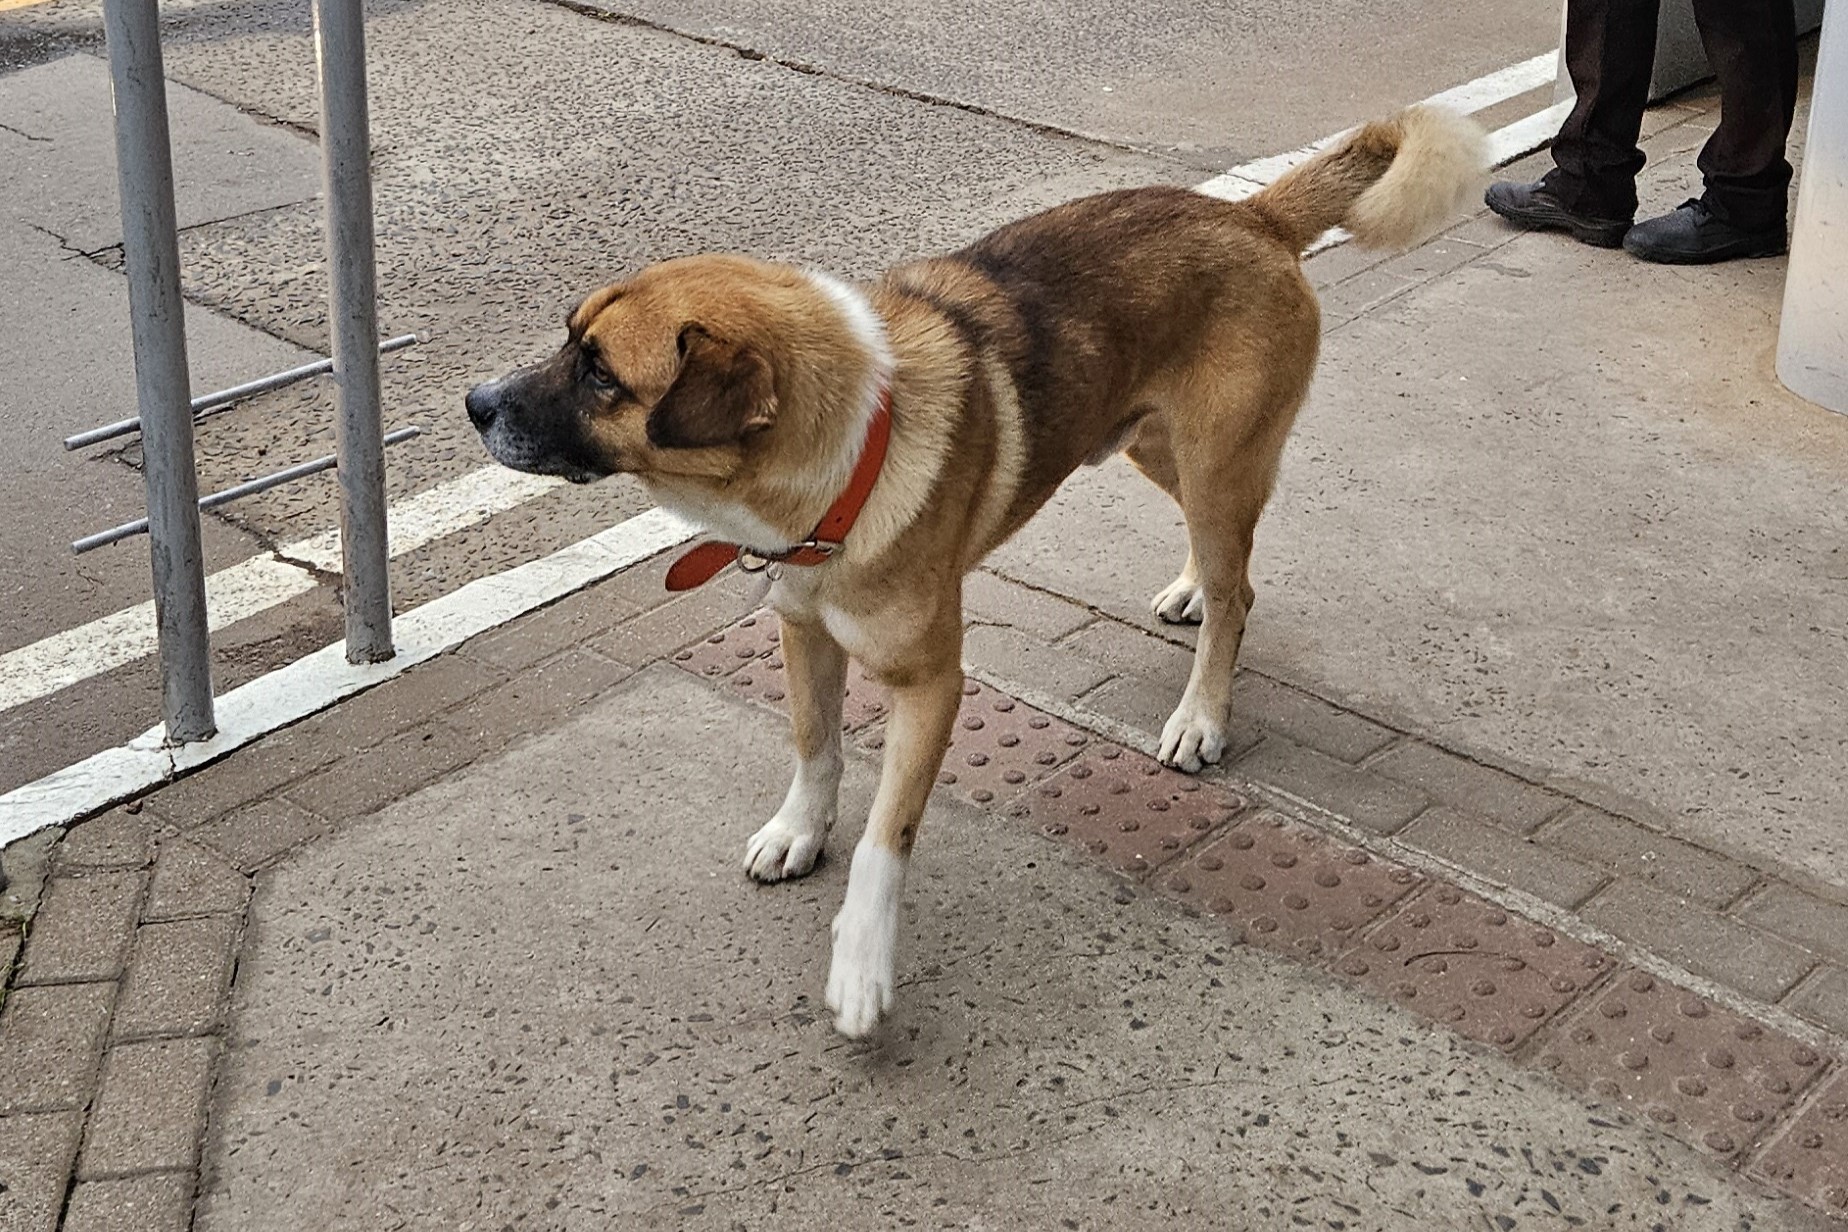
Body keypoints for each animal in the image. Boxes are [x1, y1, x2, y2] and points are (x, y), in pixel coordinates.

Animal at [462, 106, 1485, 1034]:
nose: (475, 402)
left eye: (600, 373)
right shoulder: (801, 632)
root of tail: (1253, 217)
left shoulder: (932, 686)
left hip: (1216, 460)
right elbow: (815, 747)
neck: (848, 457)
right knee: (1223, 557)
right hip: (1158, 450)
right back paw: (1195, 586)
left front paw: (862, 961)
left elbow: (887, 836)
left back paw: (1202, 713)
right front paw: (800, 829)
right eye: (569, 339)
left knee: (1244, 591)